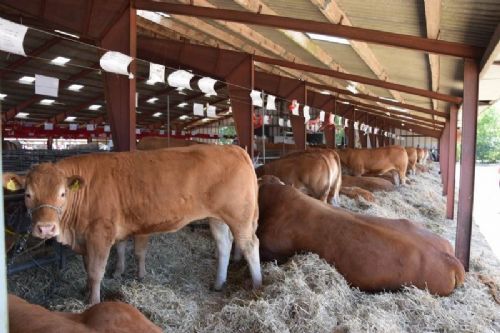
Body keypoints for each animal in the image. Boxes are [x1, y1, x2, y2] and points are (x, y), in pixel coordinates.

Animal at [3, 145, 262, 304]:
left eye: (62, 193)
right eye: (28, 194)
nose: (45, 228)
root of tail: (234, 148)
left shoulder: (100, 233)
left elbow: (96, 271)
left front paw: (93, 302)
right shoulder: (87, 237)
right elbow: (89, 269)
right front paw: (87, 291)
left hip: (240, 216)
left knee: (250, 245)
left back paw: (258, 285)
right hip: (218, 218)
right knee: (224, 245)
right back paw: (218, 283)